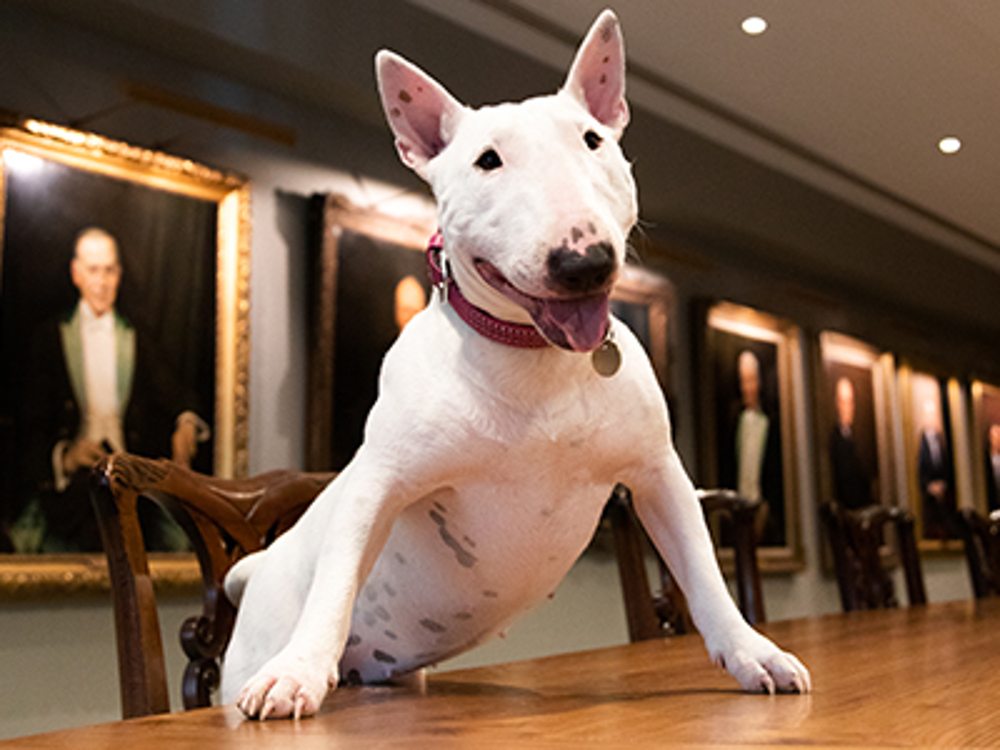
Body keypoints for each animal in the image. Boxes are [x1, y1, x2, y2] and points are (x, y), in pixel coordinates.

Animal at [221, 8, 812, 720]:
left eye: (593, 140)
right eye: (488, 160)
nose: (583, 261)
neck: (535, 358)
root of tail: (258, 569)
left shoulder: (658, 473)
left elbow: (703, 570)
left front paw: (753, 654)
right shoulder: (378, 482)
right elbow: (336, 580)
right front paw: (299, 673)